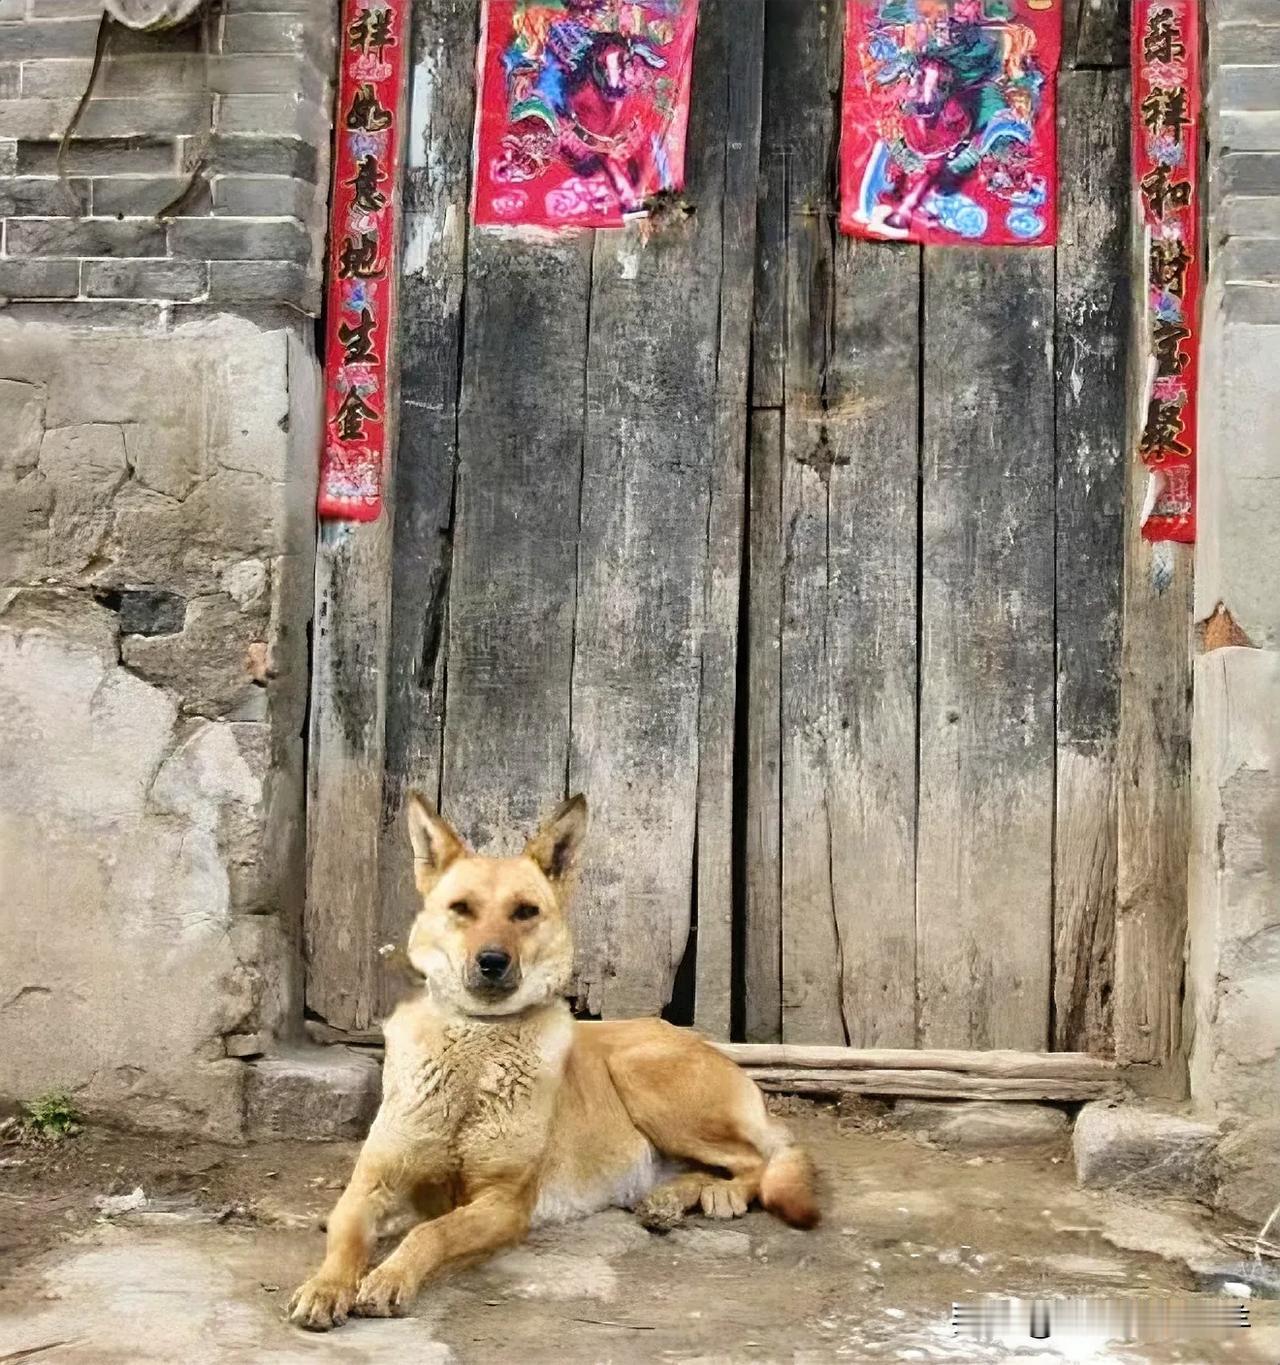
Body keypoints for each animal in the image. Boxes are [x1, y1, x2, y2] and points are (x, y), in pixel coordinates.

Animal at [286, 797, 818, 1326]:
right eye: (461, 909)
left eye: (525, 912)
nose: (492, 961)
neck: (478, 1038)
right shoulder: (370, 1184)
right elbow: (347, 1237)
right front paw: (326, 1286)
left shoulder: (504, 1204)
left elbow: (430, 1232)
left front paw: (391, 1276)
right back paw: (669, 1197)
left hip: (641, 1076)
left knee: (759, 1160)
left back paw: (717, 1193)